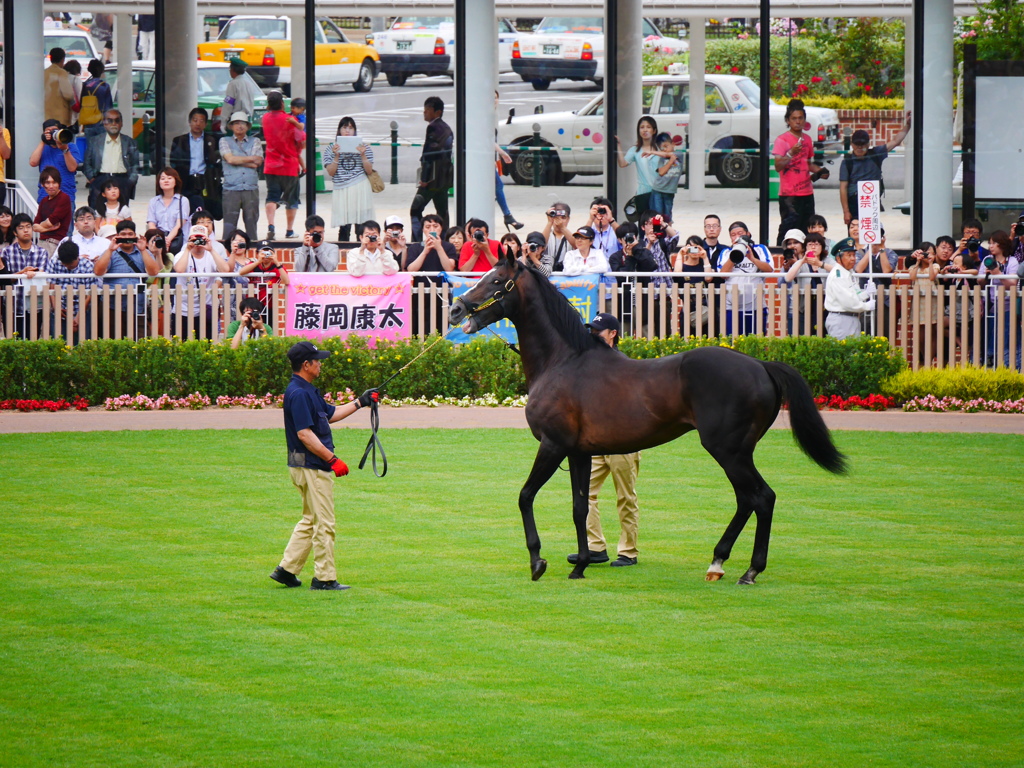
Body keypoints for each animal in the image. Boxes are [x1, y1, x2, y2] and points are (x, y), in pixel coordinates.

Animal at [448, 256, 847, 585]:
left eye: (496, 280)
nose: (455, 308)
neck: (563, 361)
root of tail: (761, 365)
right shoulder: (578, 452)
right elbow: (580, 508)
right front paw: (581, 565)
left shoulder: (553, 445)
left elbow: (526, 495)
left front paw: (537, 561)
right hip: (738, 452)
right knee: (747, 499)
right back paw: (719, 562)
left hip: (728, 450)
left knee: (761, 498)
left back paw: (747, 570)